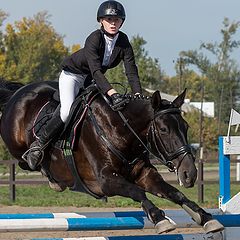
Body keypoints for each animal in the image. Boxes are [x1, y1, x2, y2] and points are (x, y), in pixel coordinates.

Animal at [0, 79, 223, 234]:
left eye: (186, 127)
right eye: (163, 129)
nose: (189, 174)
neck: (120, 131)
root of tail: (18, 92)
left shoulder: (145, 174)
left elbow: (174, 193)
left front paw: (205, 218)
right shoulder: (105, 181)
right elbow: (136, 191)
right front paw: (159, 219)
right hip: (17, 146)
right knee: (27, 162)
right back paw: (43, 166)